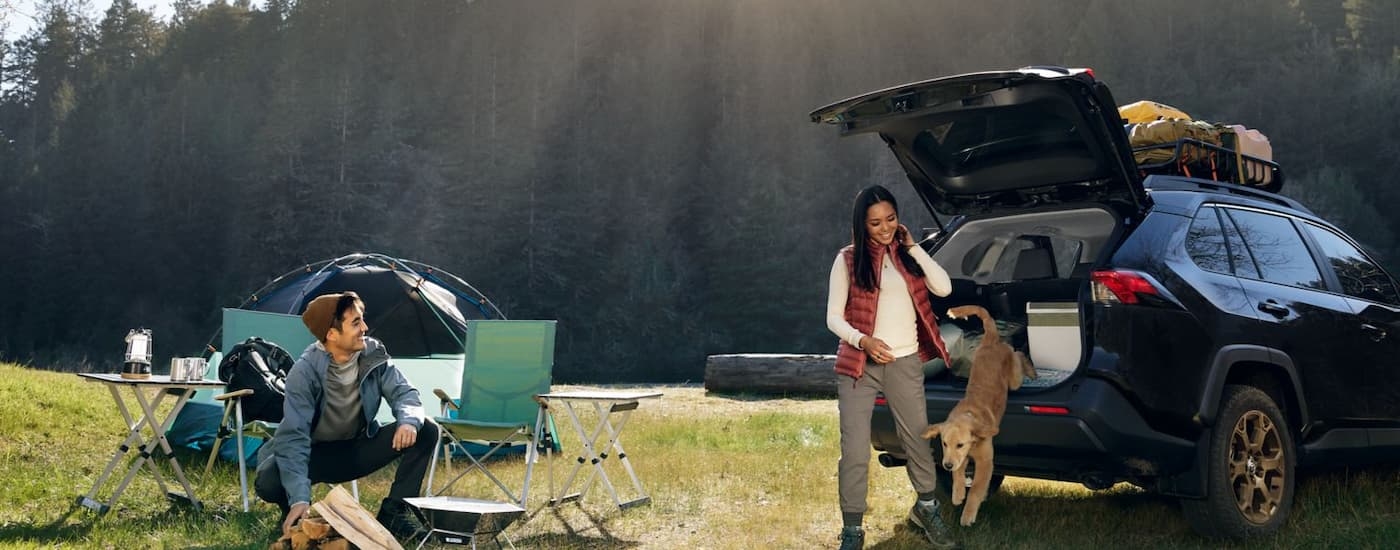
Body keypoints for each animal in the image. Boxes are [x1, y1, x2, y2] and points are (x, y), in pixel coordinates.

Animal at [924, 303, 1036, 523]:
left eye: (960, 444)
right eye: (944, 443)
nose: (946, 465)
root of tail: (991, 339)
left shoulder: (985, 463)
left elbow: (975, 489)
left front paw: (968, 514)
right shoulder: (960, 459)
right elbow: (958, 474)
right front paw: (958, 493)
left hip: (1014, 379)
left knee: (1018, 355)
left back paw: (1032, 371)